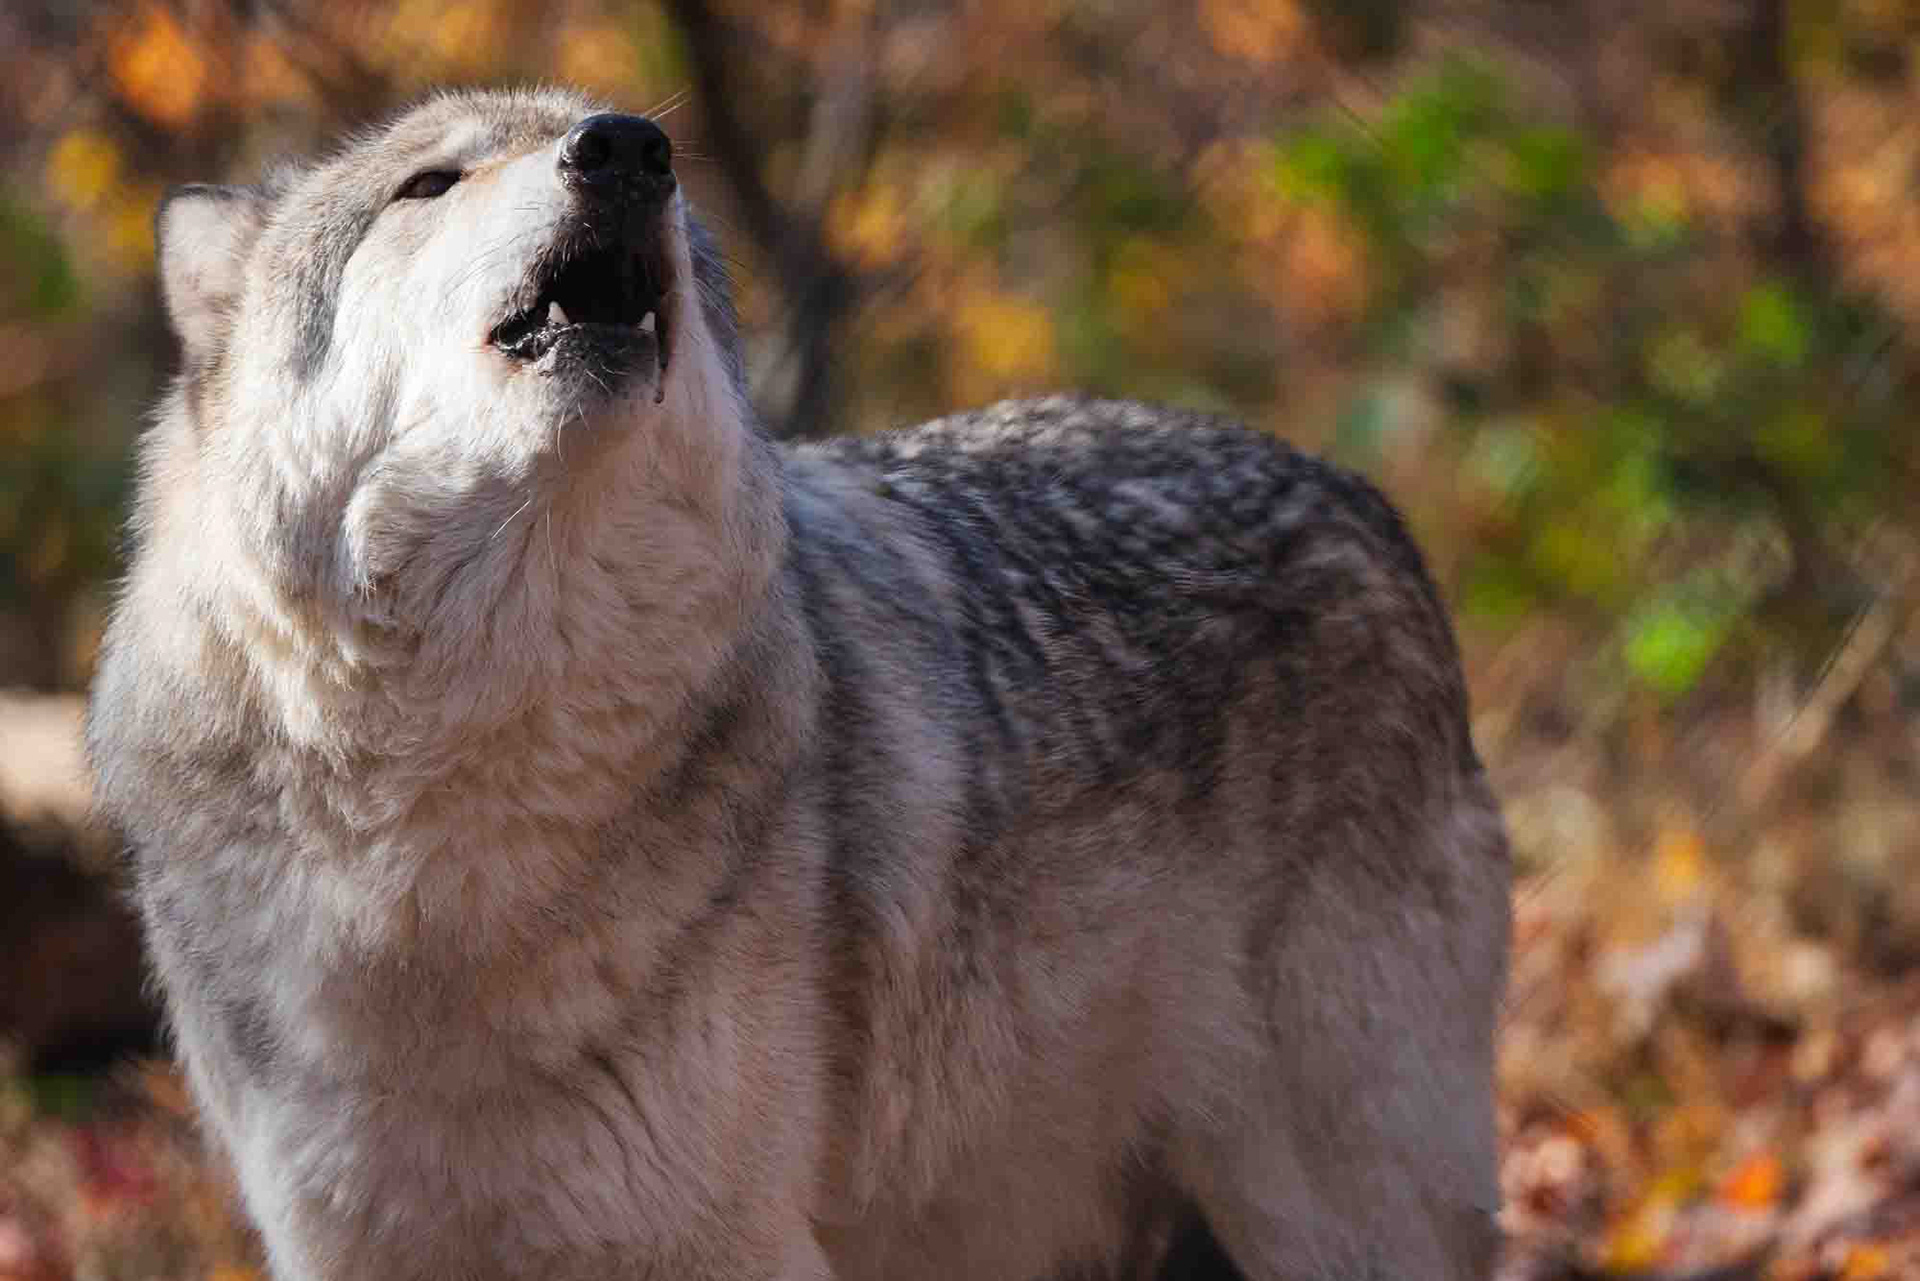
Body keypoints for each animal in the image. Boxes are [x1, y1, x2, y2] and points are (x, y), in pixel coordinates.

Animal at [86, 88, 1510, 1281]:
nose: (628, 147)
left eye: (633, 151)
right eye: (429, 183)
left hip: (1335, 1212)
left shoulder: (719, 1246)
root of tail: (1357, 497)